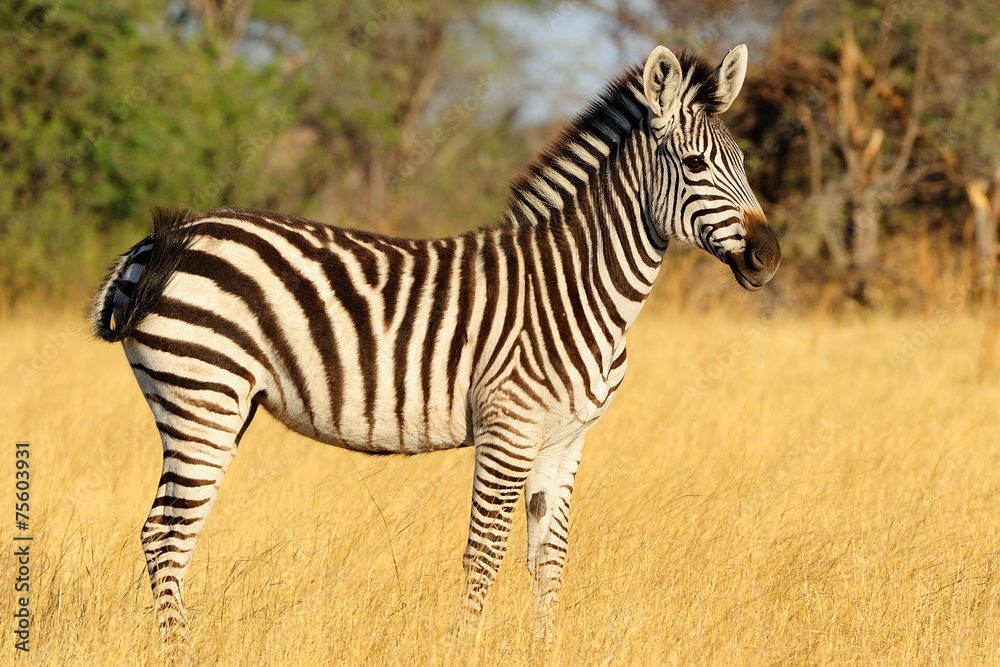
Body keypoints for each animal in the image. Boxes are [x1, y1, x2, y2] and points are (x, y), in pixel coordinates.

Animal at [91, 44, 779, 640]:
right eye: (695, 166)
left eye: (744, 163)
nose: (769, 258)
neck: (578, 285)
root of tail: (161, 238)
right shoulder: (509, 428)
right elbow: (485, 554)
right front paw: (464, 646)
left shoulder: (566, 438)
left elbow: (548, 559)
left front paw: (546, 648)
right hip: (201, 396)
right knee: (164, 536)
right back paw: (182, 650)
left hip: (216, 406)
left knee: (169, 533)